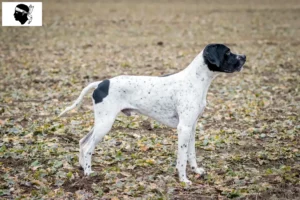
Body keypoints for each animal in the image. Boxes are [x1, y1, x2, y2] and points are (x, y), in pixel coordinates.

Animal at [58, 43, 246, 184]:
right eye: (228, 52)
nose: (244, 57)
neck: (195, 81)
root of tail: (101, 83)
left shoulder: (191, 127)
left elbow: (191, 154)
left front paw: (196, 170)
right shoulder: (183, 128)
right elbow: (182, 157)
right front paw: (183, 179)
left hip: (101, 123)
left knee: (83, 142)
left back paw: (82, 167)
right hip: (105, 124)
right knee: (88, 147)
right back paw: (89, 173)